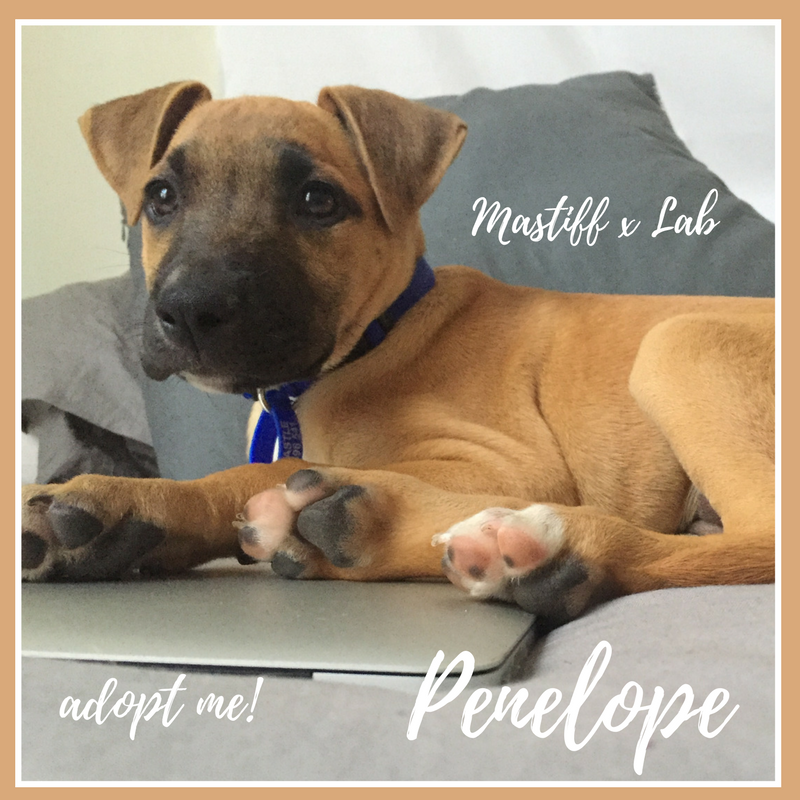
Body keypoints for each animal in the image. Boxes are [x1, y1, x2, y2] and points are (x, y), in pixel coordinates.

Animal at [21, 81, 774, 624]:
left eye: (318, 200)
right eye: (162, 197)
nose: (189, 309)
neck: (374, 339)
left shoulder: (513, 463)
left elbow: (272, 467)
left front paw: (128, 494)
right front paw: (112, 525)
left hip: (679, 345)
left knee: (760, 533)